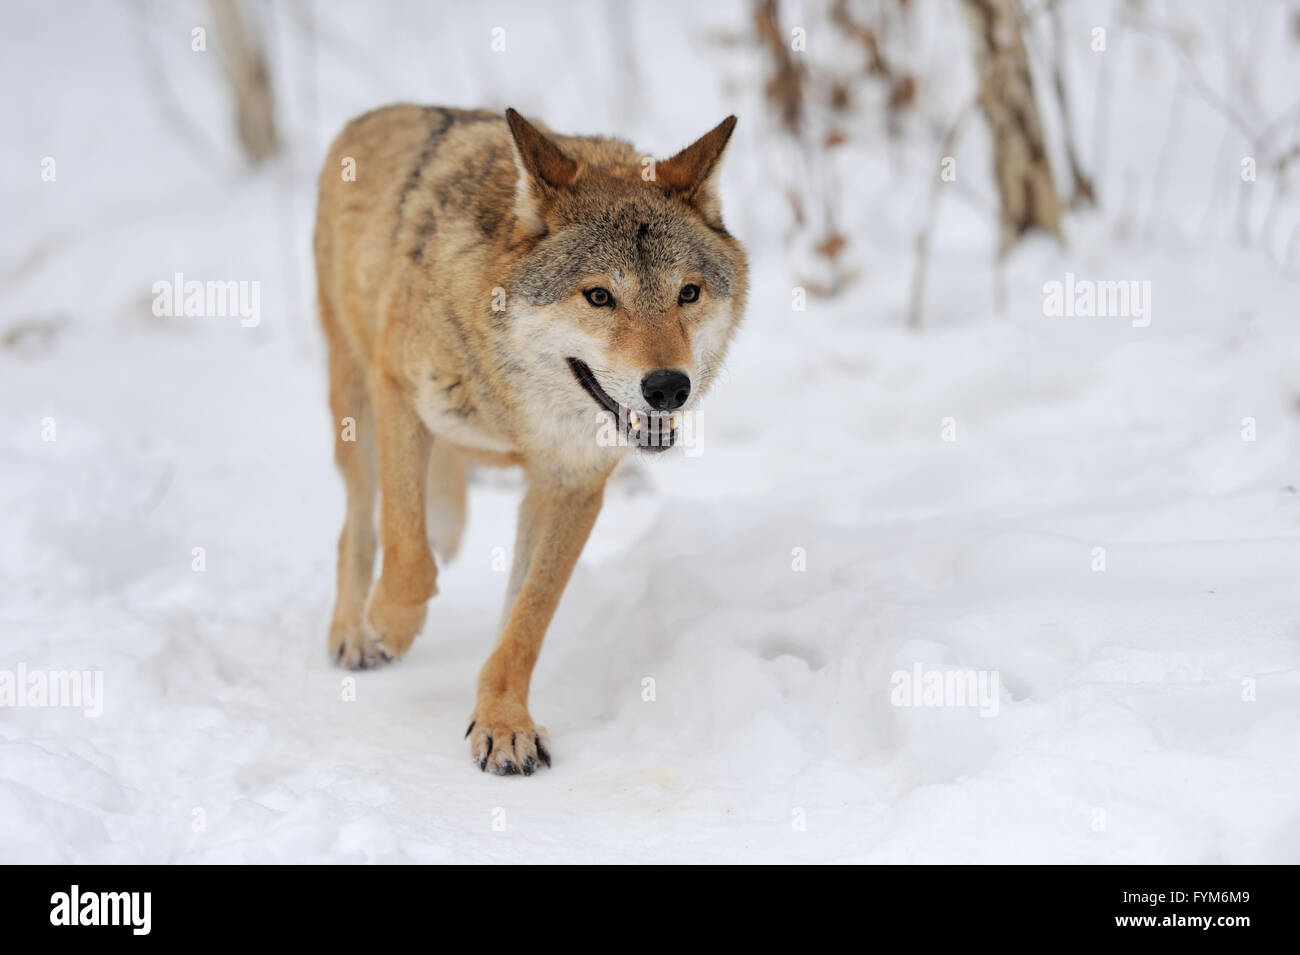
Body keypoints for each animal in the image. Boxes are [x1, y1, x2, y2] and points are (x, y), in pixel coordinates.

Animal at [309, 106, 748, 779]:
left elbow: (525, 622)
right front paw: (392, 625)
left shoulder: (571, 485)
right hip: (356, 408)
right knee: (358, 526)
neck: (515, 406)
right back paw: (355, 633)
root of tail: (375, 117)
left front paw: (502, 724)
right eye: (599, 296)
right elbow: (409, 554)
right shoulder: (399, 394)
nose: (669, 387)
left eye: (688, 293)